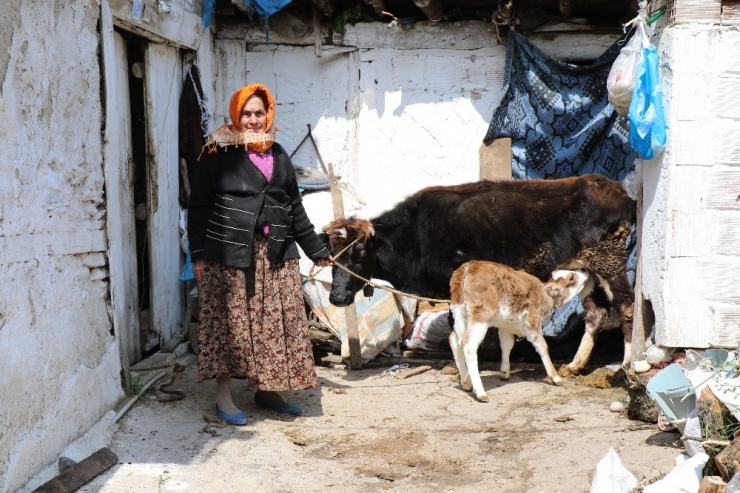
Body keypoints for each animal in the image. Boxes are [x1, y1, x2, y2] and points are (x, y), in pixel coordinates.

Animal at [322, 174, 636, 372]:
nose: (337, 297)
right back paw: (575, 364)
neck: (414, 235)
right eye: (331, 254)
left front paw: (457, 365)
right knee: (596, 312)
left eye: (360, 254)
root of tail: (618, 190)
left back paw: (625, 364)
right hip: (588, 269)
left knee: (626, 304)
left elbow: (456, 327)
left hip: (609, 261)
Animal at [448, 260, 588, 402]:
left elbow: (507, 344)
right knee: (468, 344)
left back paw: (466, 383)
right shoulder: (533, 321)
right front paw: (555, 377)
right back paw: (480, 392)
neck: (545, 296)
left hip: (460, 312)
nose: (584, 270)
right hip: (482, 314)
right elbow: (542, 346)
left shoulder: (506, 325)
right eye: (572, 277)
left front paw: (504, 373)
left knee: (454, 339)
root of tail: (468, 266)